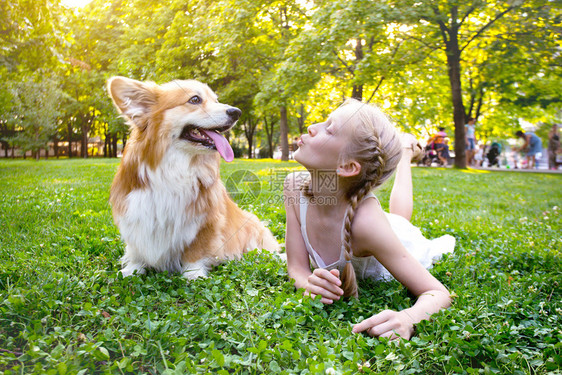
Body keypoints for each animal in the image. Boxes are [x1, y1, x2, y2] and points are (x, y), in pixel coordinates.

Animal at [106, 77, 278, 280]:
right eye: (195, 99)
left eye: (216, 100)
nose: (237, 112)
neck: (175, 168)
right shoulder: (134, 213)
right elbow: (135, 248)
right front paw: (132, 269)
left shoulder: (205, 222)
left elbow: (196, 250)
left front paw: (193, 274)